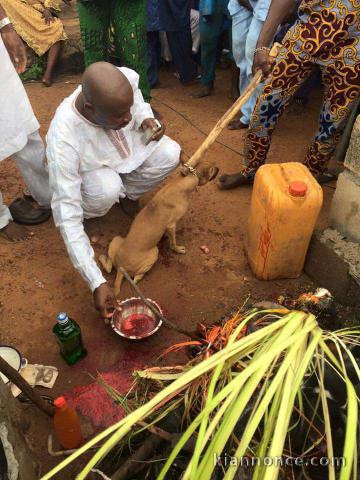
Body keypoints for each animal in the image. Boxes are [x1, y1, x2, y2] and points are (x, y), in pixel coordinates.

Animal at [97, 163, 218, 294]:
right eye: (212, 169)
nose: (218, 169)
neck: (182, 182)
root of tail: (121, 268)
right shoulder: (171, 225)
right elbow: (173, 243)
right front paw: (178, 249)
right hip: (154, 252)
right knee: (136, 278)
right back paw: (139, 277)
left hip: (116, 239)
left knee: (109, 267)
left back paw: (102, 258)